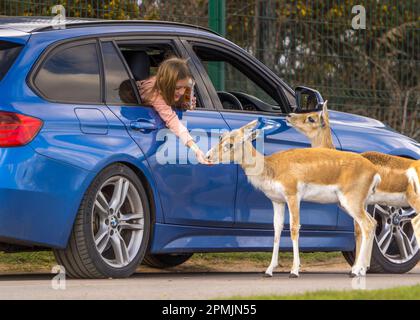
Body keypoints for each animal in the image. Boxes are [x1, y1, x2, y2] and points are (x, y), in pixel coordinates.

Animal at [207, 120, 380, 278]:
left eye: (230, 144)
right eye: (220, 138)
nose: (208, 156)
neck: (272, 167)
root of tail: (374, 170)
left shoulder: (293, 197)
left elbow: (294, 228)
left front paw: (294, 270)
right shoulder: (277, 201)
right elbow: (277, 229)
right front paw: (269, 270)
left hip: (351, 202)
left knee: (367, 225)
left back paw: (356, 271)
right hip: (352, 204)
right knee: (372, 223)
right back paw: (361, 269)